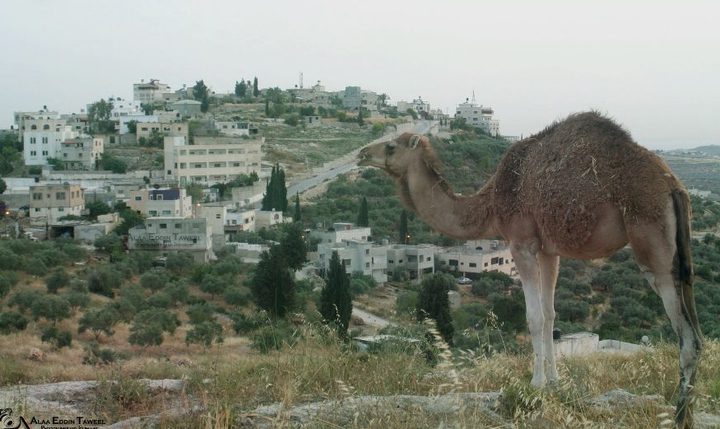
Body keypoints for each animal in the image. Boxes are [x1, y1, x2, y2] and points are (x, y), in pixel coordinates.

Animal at [358, 112, 704, 426]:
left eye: (391, 146)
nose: (362, 153)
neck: (491, 205)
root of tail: (674, 186)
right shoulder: (550, 251)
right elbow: (550, 316)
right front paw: (554, 382)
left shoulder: (521, 243)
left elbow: (534, 318)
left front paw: (535, 384)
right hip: (680, 255)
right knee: (695, 326)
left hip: (652, 245)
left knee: (688, 338)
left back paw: (679, 416)